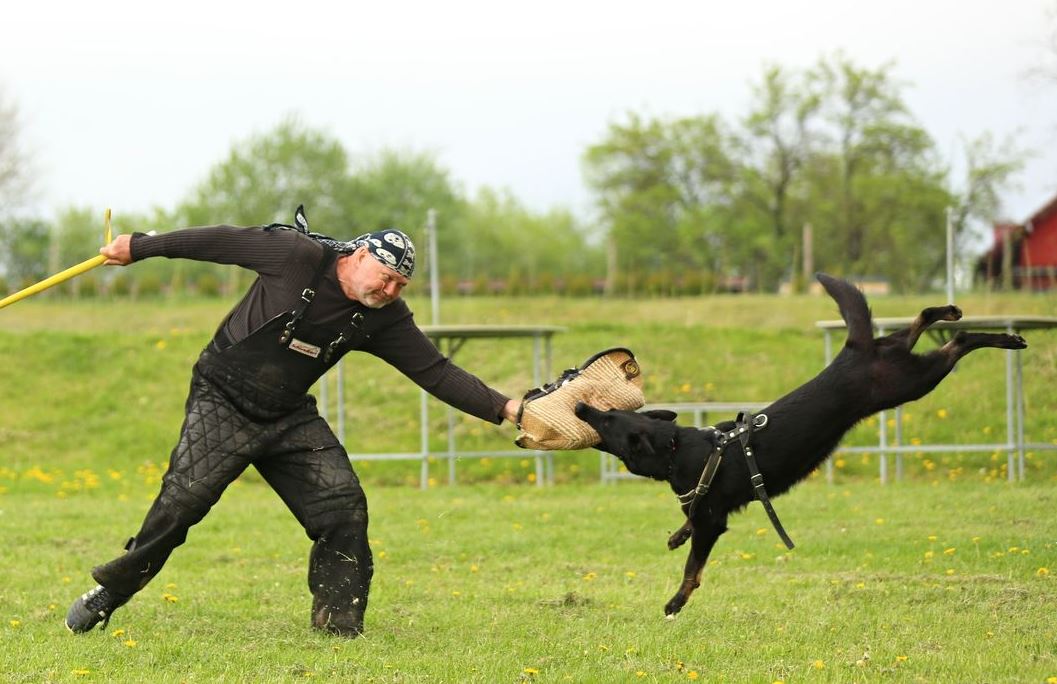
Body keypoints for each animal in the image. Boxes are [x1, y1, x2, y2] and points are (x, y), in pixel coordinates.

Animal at [575, 270, 1027, 617]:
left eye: (607, 420)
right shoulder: (701, 508)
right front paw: (676, 536)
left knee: (960, 342)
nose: (580, 406)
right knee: (918, 324)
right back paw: (949, 313)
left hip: (910, 382)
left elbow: (692, 568)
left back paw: (1005, 339)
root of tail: (852, 351)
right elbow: (687, 527)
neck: (679, 450)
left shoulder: (713, 522)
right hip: (897, 360)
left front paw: (675, 602)